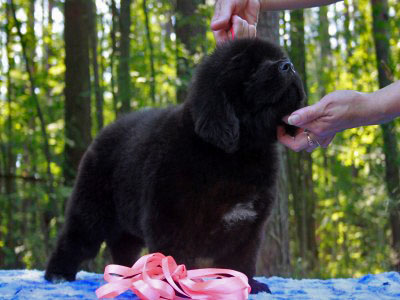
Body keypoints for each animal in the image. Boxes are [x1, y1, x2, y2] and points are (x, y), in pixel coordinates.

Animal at [44, 37, 304, 292]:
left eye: (277, 57)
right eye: (251, 69)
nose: (288, 65)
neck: (238, 153)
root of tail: (104, 132)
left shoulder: (249, 228)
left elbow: (241, 262)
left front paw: (248, 284)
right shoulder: (171, 219)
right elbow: (174, 258)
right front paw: (174, 286)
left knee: (123, 246)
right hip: (93, 207)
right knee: (76, 239)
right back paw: (58, 274)